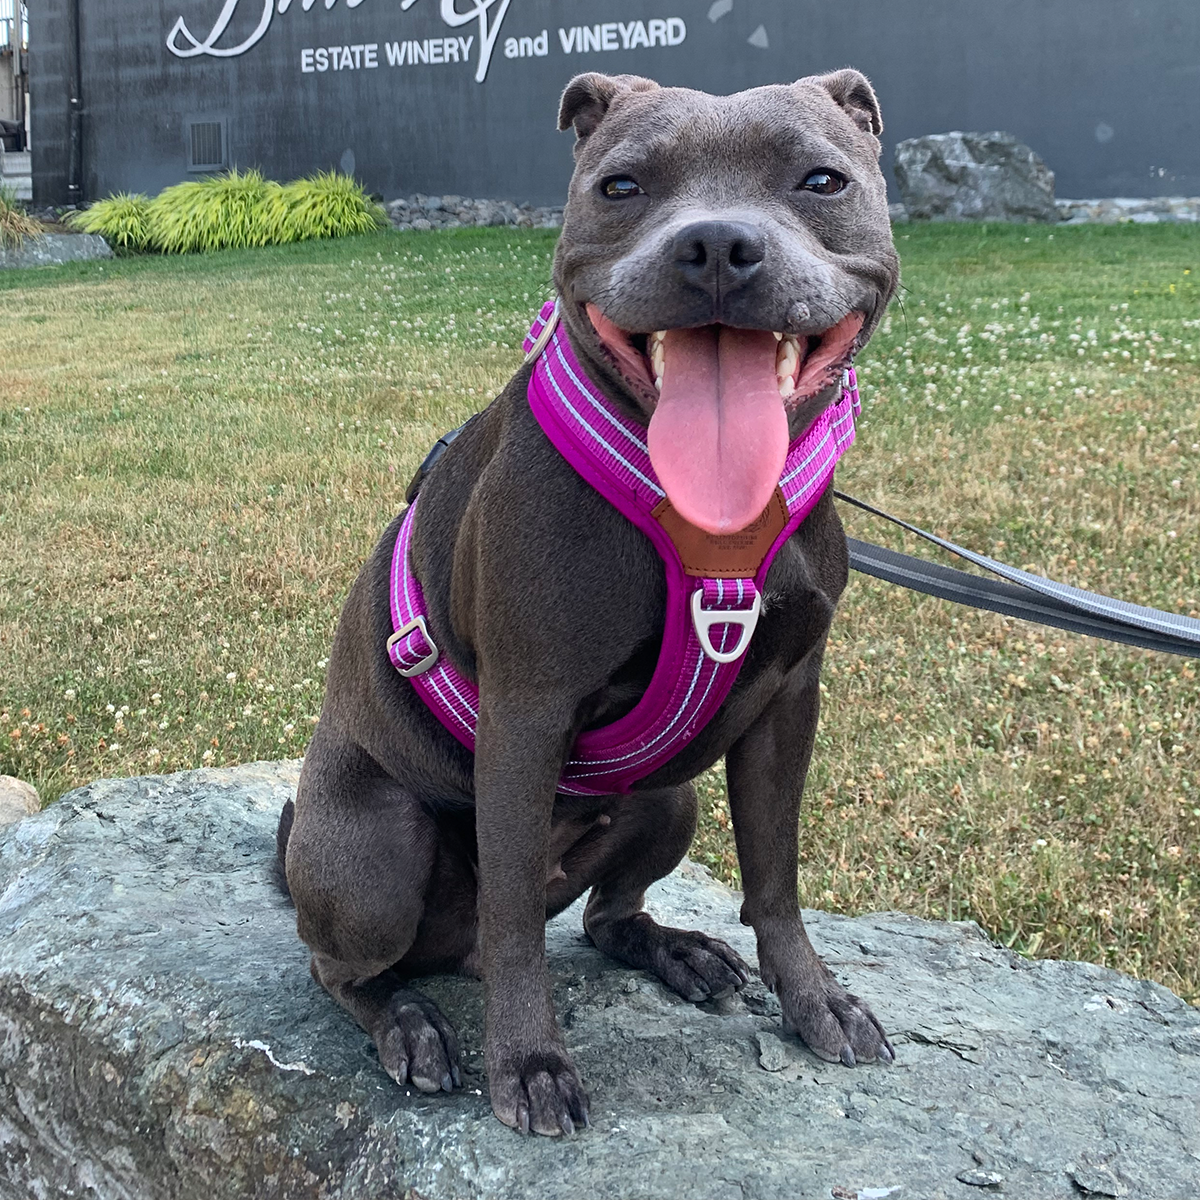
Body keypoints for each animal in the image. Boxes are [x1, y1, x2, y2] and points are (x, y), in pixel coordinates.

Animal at [278, 65, 902, 1132]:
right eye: (621, 187)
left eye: (822, 180)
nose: (717, 245)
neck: (705, 513)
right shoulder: (527, 715)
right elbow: (516, 924)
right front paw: (529, 1062)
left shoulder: (788, 702)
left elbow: (775, 875)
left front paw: (815, 999)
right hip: (375, 850)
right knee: (344, 965)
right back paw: (407, 1022)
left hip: (669, 800)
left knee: (609, 914)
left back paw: (673, 949)